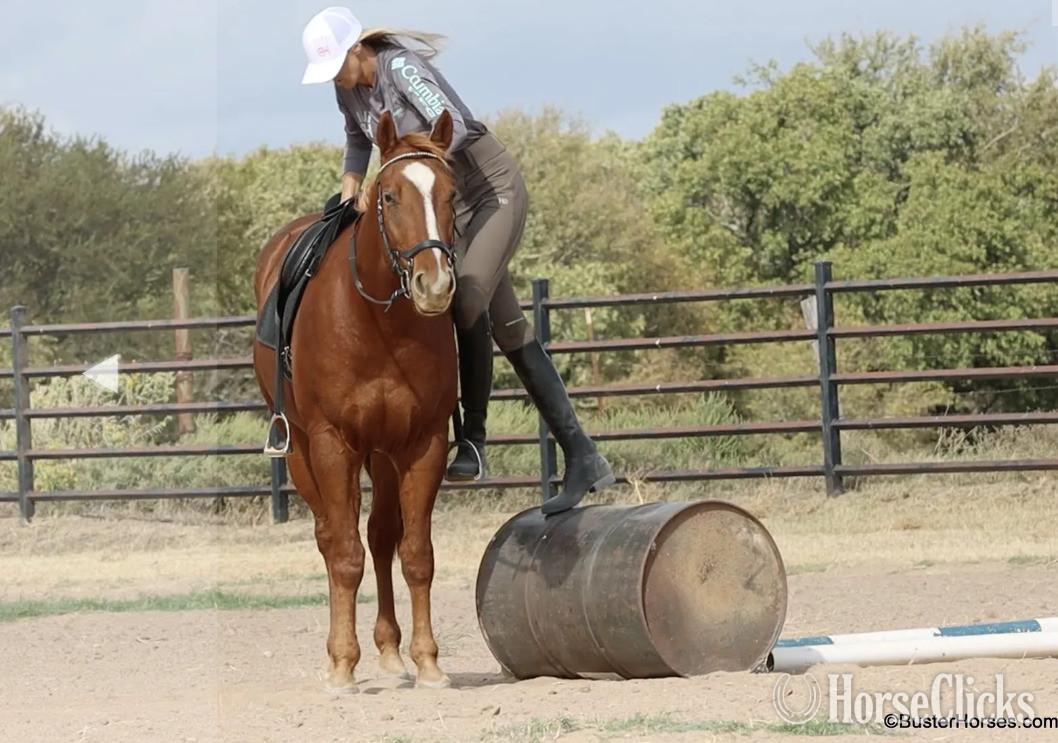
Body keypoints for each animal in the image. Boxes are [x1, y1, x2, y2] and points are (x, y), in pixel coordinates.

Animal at [251, 110, 460, 692]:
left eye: (452, 194)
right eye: (389, 195)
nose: (434, 284)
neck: (380, 324)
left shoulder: (422, 444)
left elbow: (416, 553)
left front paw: (428, 661)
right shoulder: (333, 444)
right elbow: (344, 554)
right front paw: (343, 665)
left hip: (383, 455)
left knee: (382, 535)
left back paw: (389, 650)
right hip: (303, 449)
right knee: (331, 538)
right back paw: (339, 654)